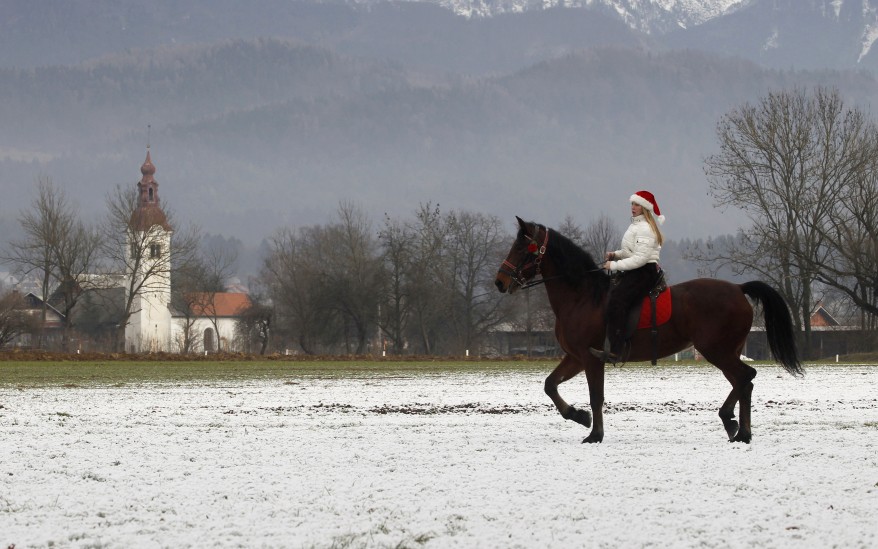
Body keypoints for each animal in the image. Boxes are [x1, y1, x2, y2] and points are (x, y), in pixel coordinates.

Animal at [496, 216, 804, 444]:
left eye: (522, 249)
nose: (500, 281)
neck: (582, 296)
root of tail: (739, 289)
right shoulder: (575, 357)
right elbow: (550, 385)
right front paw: (578, 416)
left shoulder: (591, 358)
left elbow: (596, 396)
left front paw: (595, 434)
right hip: (726, 351)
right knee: (743, 382)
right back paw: (739, 430)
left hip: (717, 350)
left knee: (745, 377)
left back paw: (733, 423)